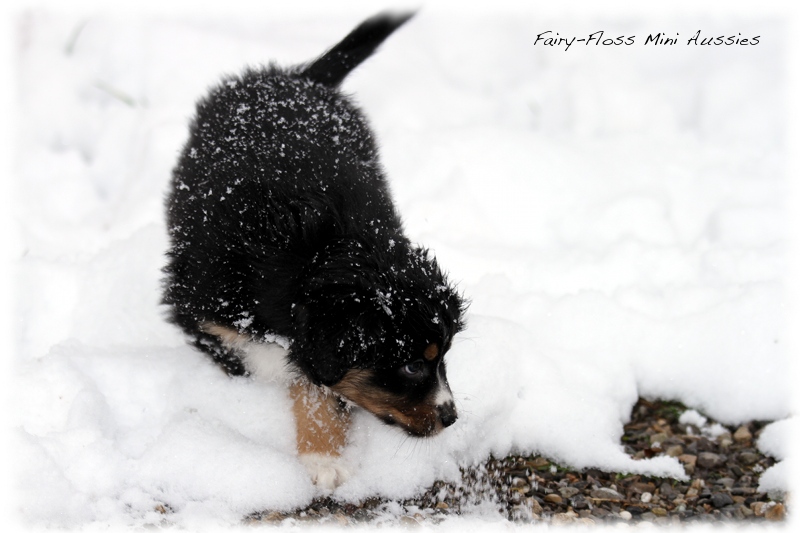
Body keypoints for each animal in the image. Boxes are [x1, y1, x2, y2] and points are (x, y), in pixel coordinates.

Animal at [162, 12, 466, 488]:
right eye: (413, 366)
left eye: (445, 357)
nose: (451, 417)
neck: (315, 248)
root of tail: (296, 77)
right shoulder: (203, 310)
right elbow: (273, 364)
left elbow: (315, 381)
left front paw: (323, 451)